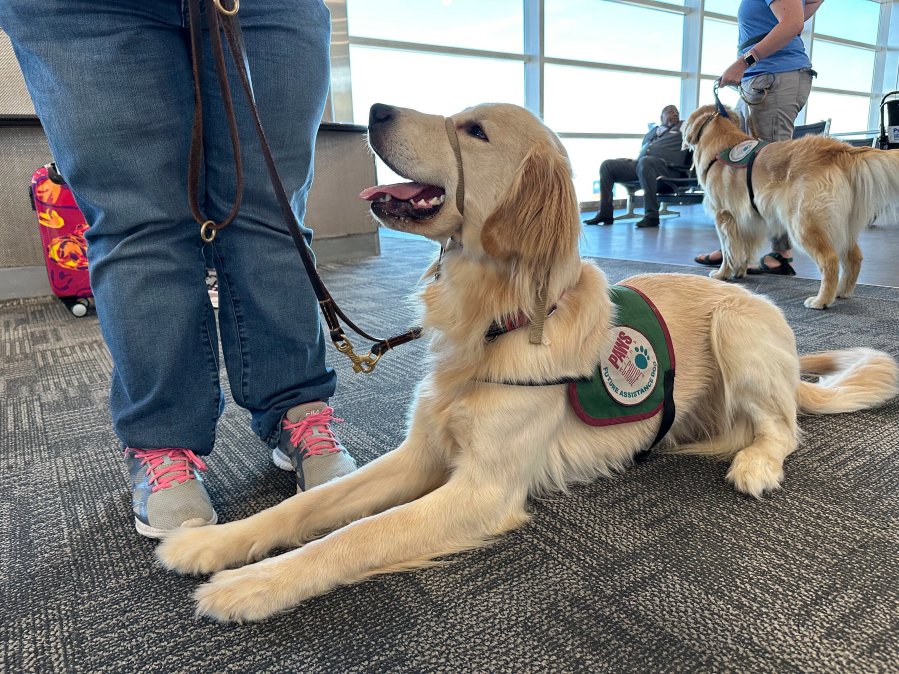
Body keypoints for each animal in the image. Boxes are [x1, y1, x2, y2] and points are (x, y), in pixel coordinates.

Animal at [684, 103, 896, 308]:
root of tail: (838, 149)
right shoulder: (749, 220)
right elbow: (744, 249)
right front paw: (740, 271)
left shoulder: (724, 216)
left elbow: (729, 251)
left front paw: (722, 274)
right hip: (842, 226)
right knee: (854, 258)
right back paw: (841, 292)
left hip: (803, 223)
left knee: (830, 260)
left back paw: (821, 300)